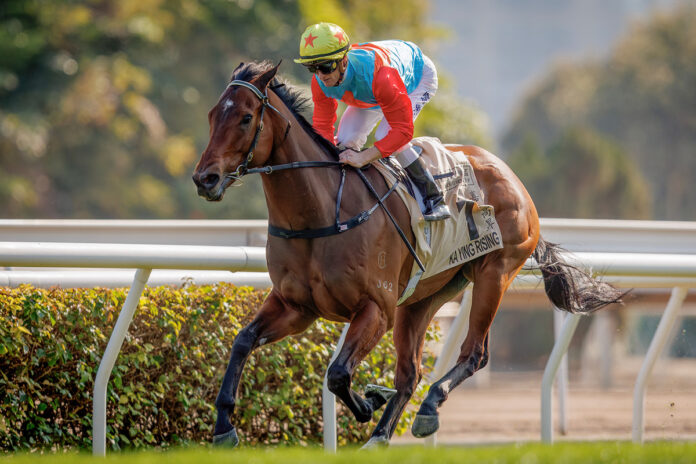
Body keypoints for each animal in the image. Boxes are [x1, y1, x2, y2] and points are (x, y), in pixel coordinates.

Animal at [192, 60, 624, 446]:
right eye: (211, 115)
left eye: (246, 117)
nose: (204, 178)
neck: (322, 213)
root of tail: (513, 179)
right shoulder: (296, 306)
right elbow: (243, 340)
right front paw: (224, 427)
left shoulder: (376, 308)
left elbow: (338, 373)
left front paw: (367, 402)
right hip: (423, 298)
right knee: (410, 372)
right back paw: (379, 436)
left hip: (494, 274)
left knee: (474, 354)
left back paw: (428, 408)